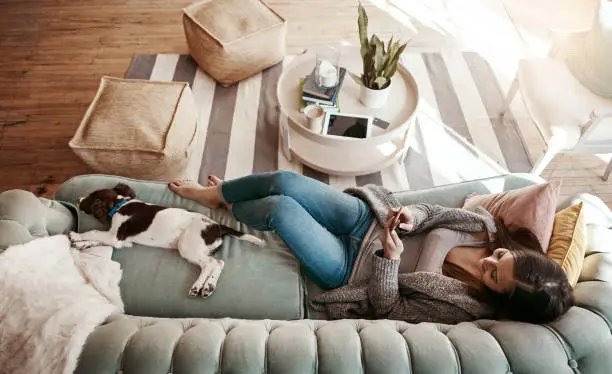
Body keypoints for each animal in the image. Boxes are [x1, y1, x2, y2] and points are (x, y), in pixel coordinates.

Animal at [70, 183, 266, 298]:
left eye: (90, 199)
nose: (77, 198)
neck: (120, 204)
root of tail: (216, 225)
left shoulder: (115, 236)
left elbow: (95, 232)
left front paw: (76, 236)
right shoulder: (122, 241)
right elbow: (97, 239)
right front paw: (81, 243)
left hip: (187, 245)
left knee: (210, 263)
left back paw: (197, 286)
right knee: (219, 262)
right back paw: (208, 286)